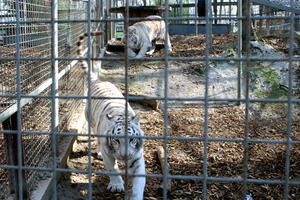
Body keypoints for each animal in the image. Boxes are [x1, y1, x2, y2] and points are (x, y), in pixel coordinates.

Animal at [77, 30, 146, 199]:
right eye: (116, 140)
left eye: (132, 139)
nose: (125, 157)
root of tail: (99, 81)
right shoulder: (109, 152)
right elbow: (113, 169)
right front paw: (116, 185)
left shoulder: (138, 157)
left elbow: (138, 182)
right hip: (91, 121)